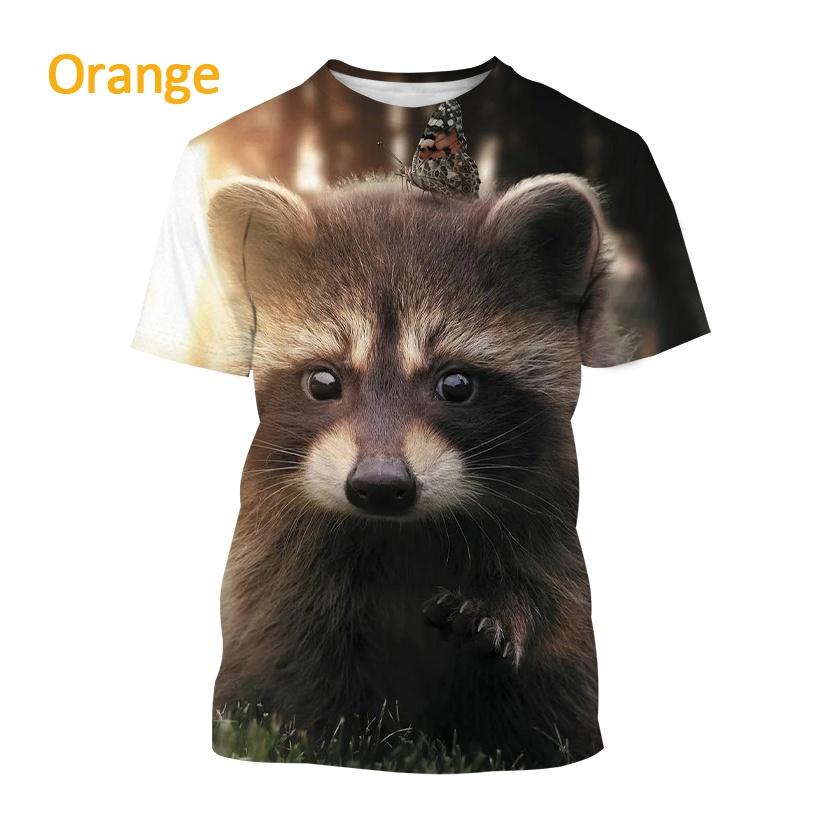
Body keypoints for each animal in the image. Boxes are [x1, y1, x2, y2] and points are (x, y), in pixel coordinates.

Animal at [208, 171, 626, 767]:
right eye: (323, 381)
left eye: (456, 384)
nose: (380, 486)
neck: (402, 531)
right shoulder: (280, 553)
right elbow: (290, 641)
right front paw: (325, 738)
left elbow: (558, 624)